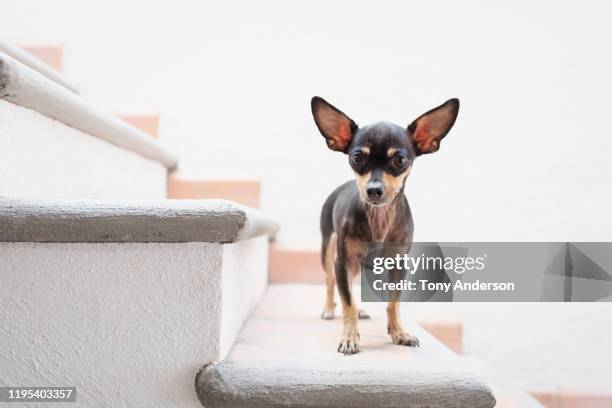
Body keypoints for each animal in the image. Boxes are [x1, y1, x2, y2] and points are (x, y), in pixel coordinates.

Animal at [310, 95, 460, 354]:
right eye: (356, 159)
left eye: (400, 160)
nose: (373, 190)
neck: (379, 218)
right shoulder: (342, 262)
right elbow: (346, 303)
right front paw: (349, 337)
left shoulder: (398, 264)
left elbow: (393, 303)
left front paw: (399, 333)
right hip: (328, 252)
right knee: (331, 282)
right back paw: (329, 308)